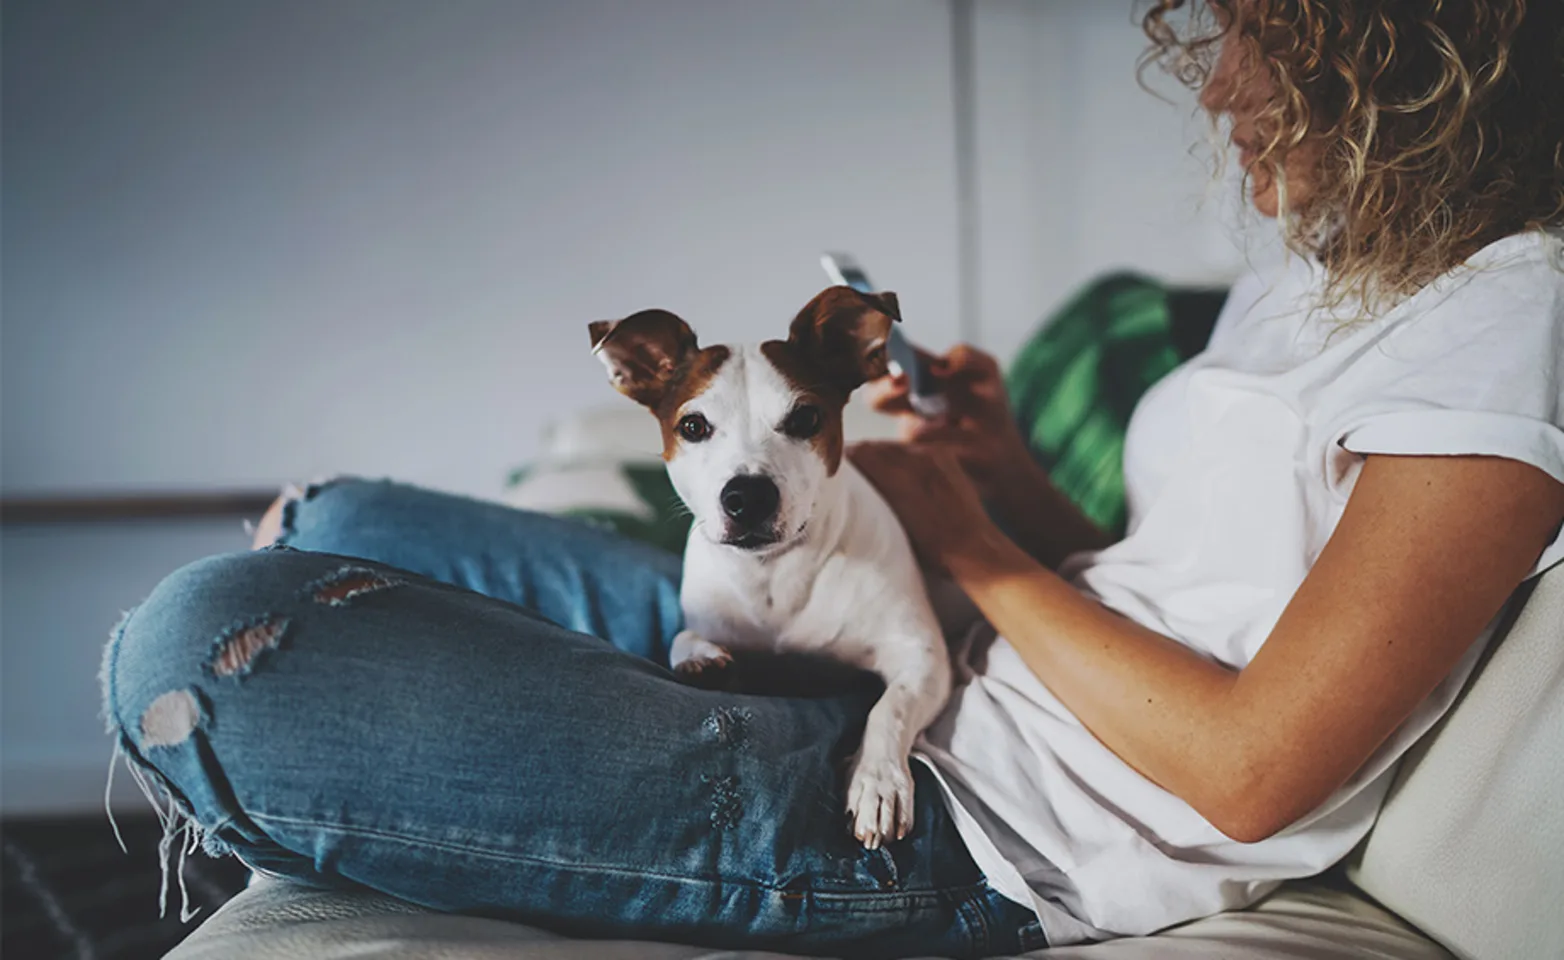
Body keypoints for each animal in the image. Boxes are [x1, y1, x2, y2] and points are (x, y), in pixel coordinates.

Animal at [588, 284, 944, 850]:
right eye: (692, 426)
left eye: (805, 419)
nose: (747, 496)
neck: (775, 573)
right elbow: (682, 637)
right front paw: (700, 657)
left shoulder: (923, 657)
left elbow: (890, 707)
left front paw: (877, 782)